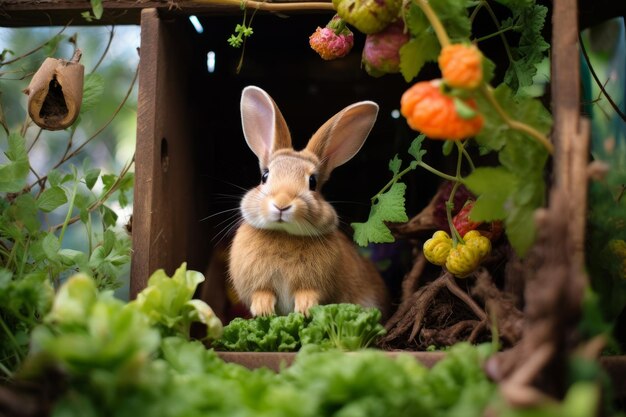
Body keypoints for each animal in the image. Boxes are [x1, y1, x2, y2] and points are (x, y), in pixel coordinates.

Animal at [227, 86, 388, 316]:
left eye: (312, 182)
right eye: (265, 176)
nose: (282, 203)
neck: (284, 233)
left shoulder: (316, 285)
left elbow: (308, 293)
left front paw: (304, 309)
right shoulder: (257, 284)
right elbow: (261, 293)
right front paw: (263, 310)